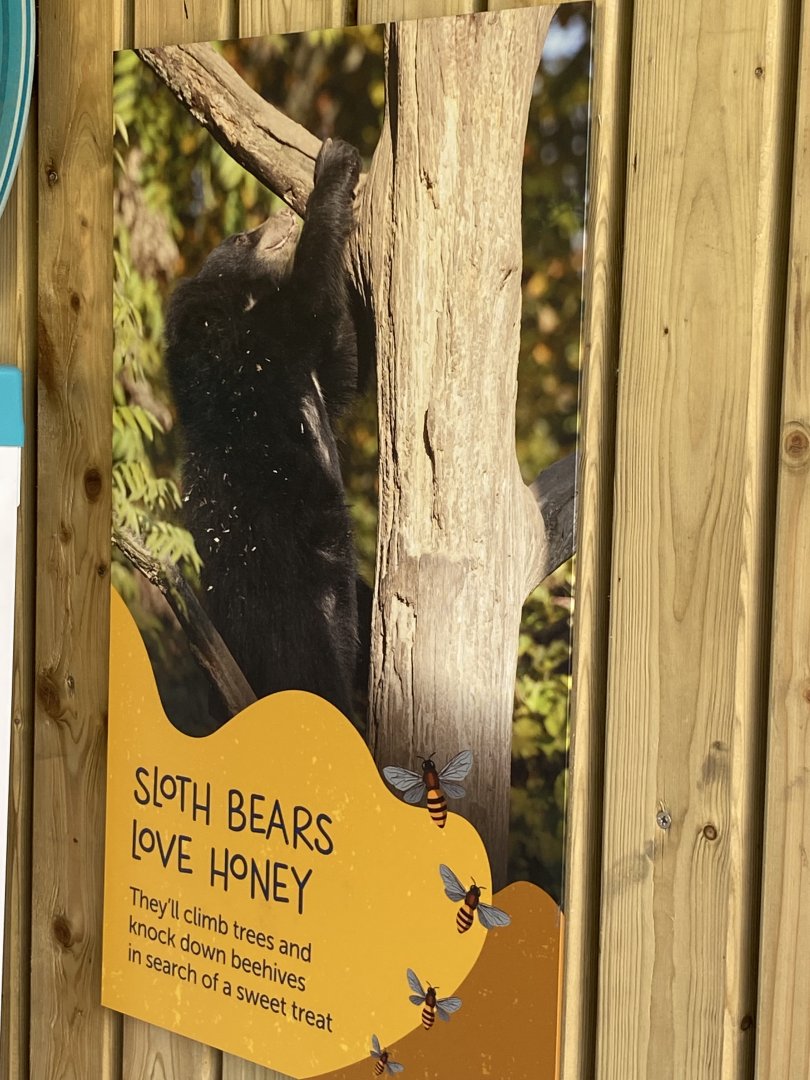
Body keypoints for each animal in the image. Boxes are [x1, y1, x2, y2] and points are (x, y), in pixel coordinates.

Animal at [164, 137, 362, 723]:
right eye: (240, 237)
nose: (279, 215)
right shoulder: (262, 346)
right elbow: (312, 299)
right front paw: (336, 164)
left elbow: (343, 369)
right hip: (285, 596)